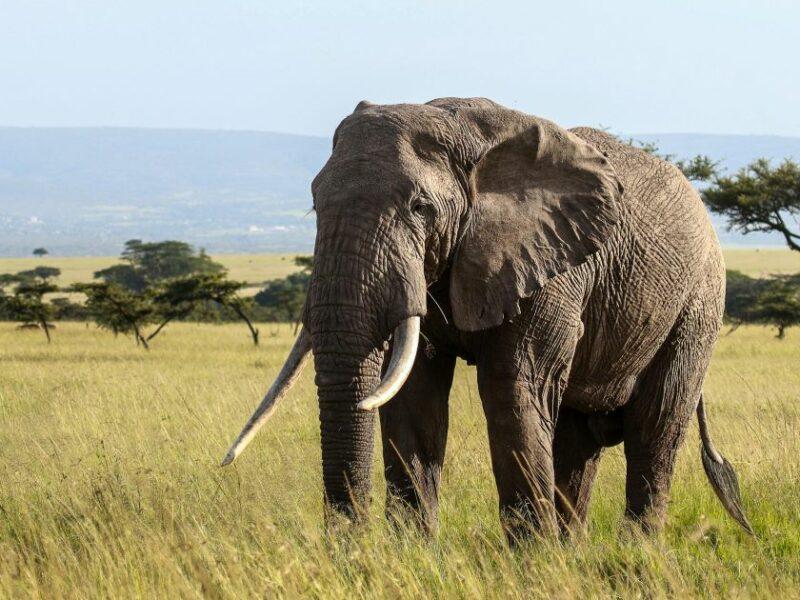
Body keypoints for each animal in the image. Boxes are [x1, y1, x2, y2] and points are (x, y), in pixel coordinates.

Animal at [222, 97, 752, 539]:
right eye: (315, 204)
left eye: (421, 207)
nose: (348, 549)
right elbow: (414, 396)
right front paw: (413, 554)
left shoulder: (548, 265)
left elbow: (512, 387)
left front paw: (532, 566)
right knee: (578, 440)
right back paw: (574, 552)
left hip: (698, 304)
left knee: (655, 429)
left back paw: (635, 554)